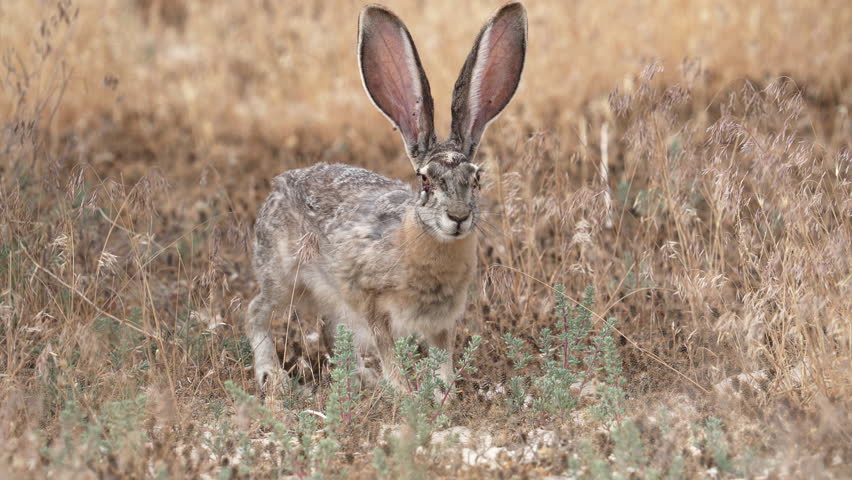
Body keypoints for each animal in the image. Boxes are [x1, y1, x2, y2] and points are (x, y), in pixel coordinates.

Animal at [247, 2, 527, 392]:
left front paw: (443, 392)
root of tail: (278, 187)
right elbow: (387, 348)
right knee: (257, 311)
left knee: (332, 333)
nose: (458, 217)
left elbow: (442, 354)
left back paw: (362, 378)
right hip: (284, 275)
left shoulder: (441, 320)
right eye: (424, 180)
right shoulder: (371, 303)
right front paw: (404, 392)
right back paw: (272, 375)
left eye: (476, 179)